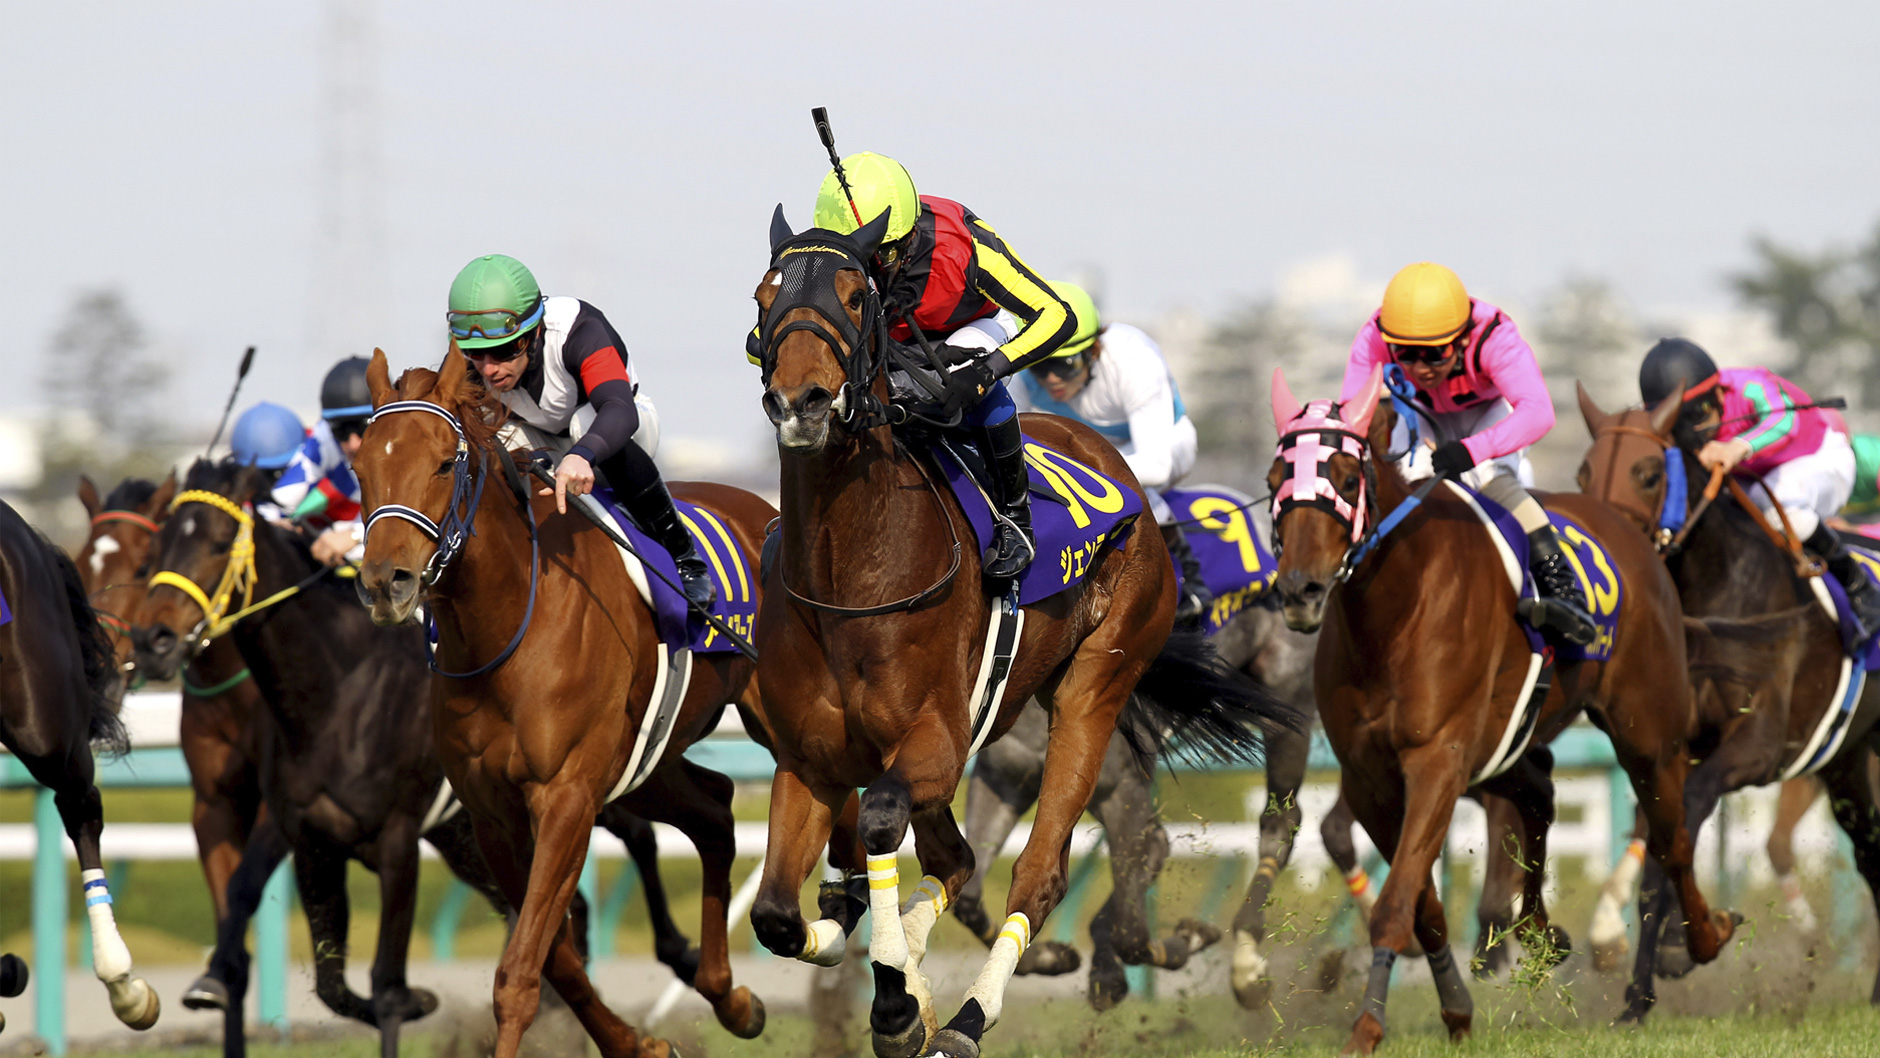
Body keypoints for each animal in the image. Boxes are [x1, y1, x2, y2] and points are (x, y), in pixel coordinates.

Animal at [353, 348, 789, 1058]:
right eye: (361, 468)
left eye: (444, 463)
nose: (385, 583)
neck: (507, 626)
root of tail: (765, 510)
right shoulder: (495, 815)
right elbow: (554, 957)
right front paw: (638, 1044)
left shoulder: (565, 797)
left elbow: (520, 974)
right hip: (646, 759)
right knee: (716, 808)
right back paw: (733, 998)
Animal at [748, 213, 1297, 1058]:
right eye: (764, 293)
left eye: (854, 294)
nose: (801, 400)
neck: (853, 575)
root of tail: (1110, 464)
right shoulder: (813, 760)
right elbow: (777, 912)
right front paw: (870, 953)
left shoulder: (937, 745)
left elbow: (881, 824)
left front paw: (898, 1004)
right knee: (961, 863)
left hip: (1100, 688)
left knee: (1045, 874)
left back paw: (967, 1018)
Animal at [1266, 368, 1734, 1053]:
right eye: (1276, 479)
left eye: (1348, 481)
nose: (1300, 589)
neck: (1393, 612)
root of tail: (1627, 527)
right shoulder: (1371, 776)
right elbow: (1424, 906)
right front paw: (1457, 1009)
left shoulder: (1437, 759)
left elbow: (1398, 900)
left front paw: (1368, 1027)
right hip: (1506, 743)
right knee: (1540, 792)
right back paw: (1541, 933)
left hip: (1647, 731)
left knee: (1670, 837)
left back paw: (1702, 936)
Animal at [1576, 387, 1880, 1015]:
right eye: (1583, 472)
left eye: (1648, 473)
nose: (1608, 546)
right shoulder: (1669, 745)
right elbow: (1662, 843)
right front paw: (1637, 991)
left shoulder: (1757, 747)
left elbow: (1688, 815)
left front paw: (1680, 943)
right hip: (1846, 760)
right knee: (1873, 856)